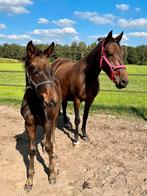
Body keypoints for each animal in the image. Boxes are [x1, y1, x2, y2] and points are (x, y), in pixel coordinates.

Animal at [20, 41, 61, 190]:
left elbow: (49, 146)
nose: (53, 100)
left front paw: (52, 174)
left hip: (55, 117)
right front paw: (29, 180)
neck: (35, 103)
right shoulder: (29, 124)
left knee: (52, 133)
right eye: (33, 69)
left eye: (50, 68)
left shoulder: (48, 121)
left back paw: (54, 153)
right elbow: (31, 150)